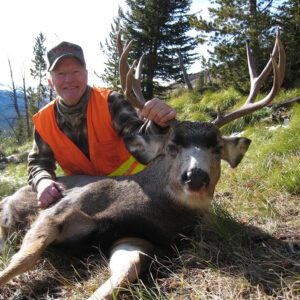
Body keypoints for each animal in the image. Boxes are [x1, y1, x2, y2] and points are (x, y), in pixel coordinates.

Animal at [0, 32, 286, 298]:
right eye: (172, 147)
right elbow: (23, 260)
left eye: (216, 149)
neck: (155, 209)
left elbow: (127, 271)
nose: (195, 177)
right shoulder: (57, 210)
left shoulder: (137, 239)